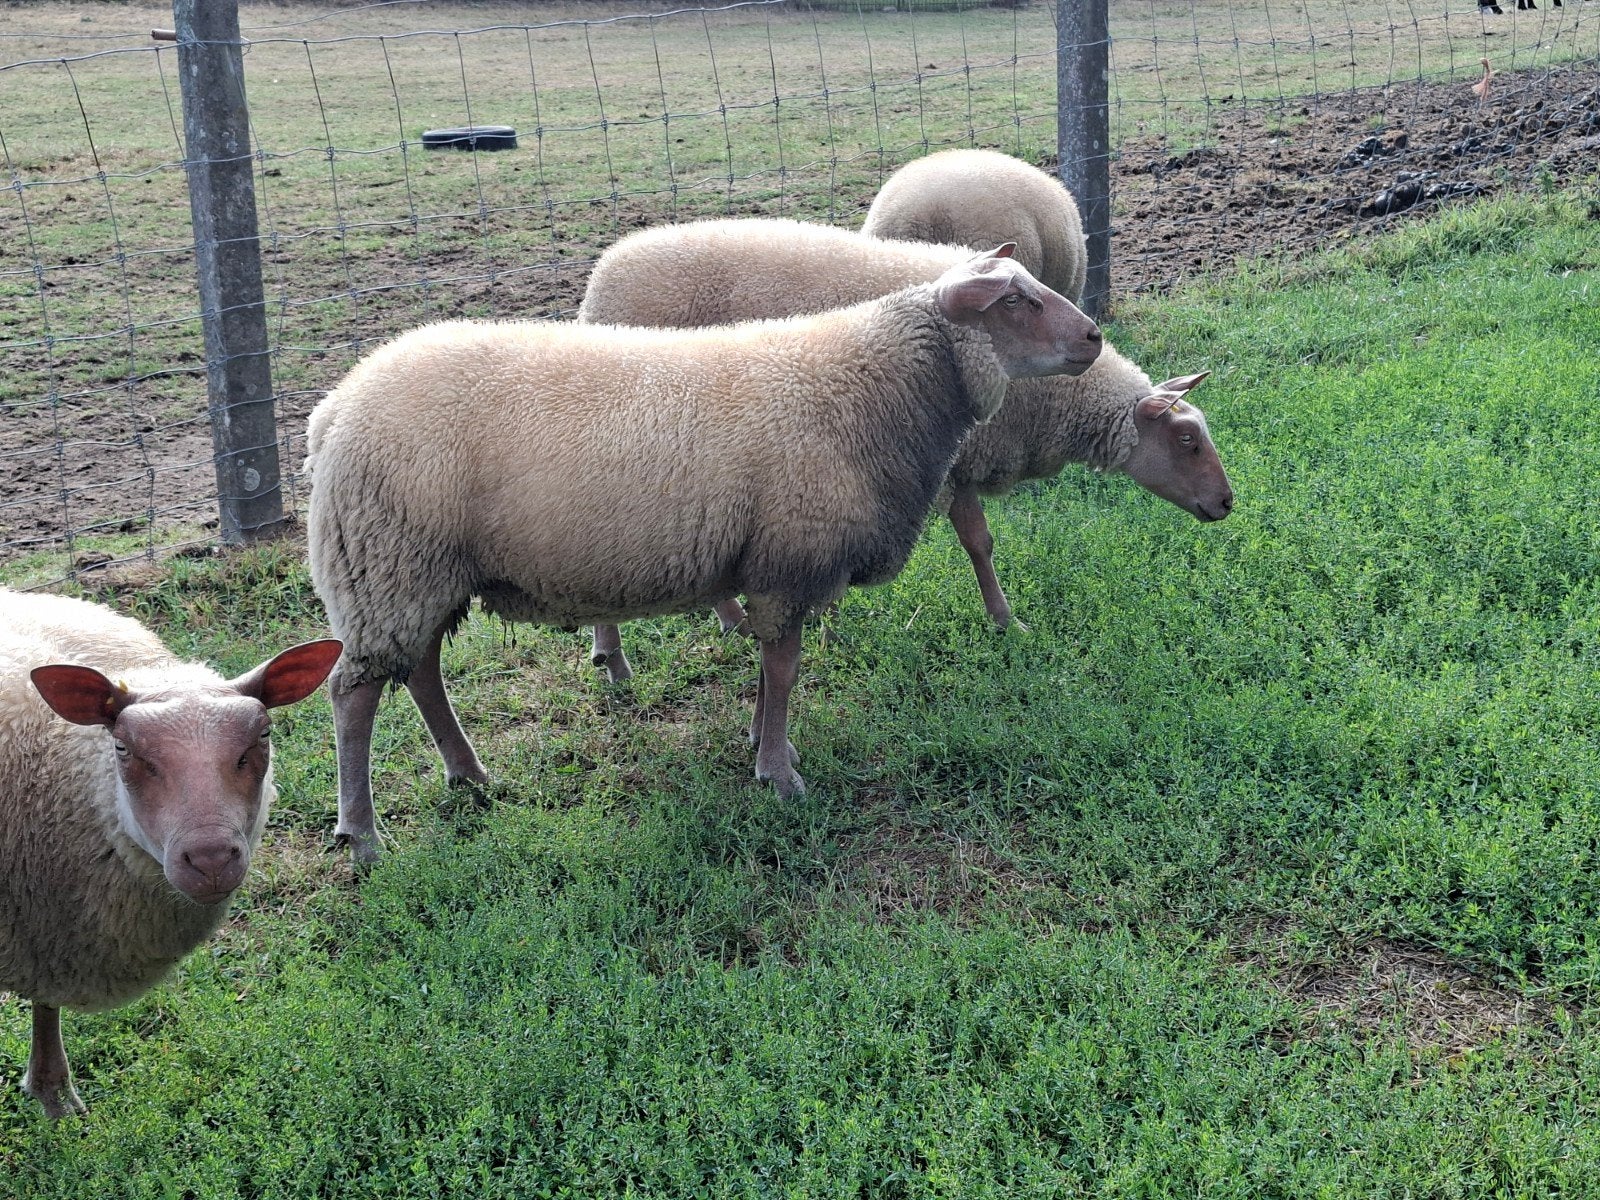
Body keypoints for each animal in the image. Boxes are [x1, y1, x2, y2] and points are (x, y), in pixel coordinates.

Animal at [0, 589, 340, 1118]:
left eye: (263, 736)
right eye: (122, 747)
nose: (211, 860)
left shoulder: (45, 935)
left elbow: (45, 1004)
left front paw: (54, 1095)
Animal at [305, 247, 1102, 862]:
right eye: (1016, 301)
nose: (1094, 337)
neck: (875, 388)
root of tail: (334, 408)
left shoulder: (770, 567)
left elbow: (768, 672)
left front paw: (766, 747)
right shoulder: (788, 562)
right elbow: (783, 670)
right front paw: (779, 775)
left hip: (416, 572)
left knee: (421, 673)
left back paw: (468, 775)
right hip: (389, 560)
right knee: (353, 693)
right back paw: (364, 834)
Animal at [579, 218, 1231, 677]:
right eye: (1187, 440)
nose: (1227, 504)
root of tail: (603, 271)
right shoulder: (949, 464)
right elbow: (978, 543)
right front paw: (1005, 621)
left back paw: (730, 621)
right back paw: (614, 658)